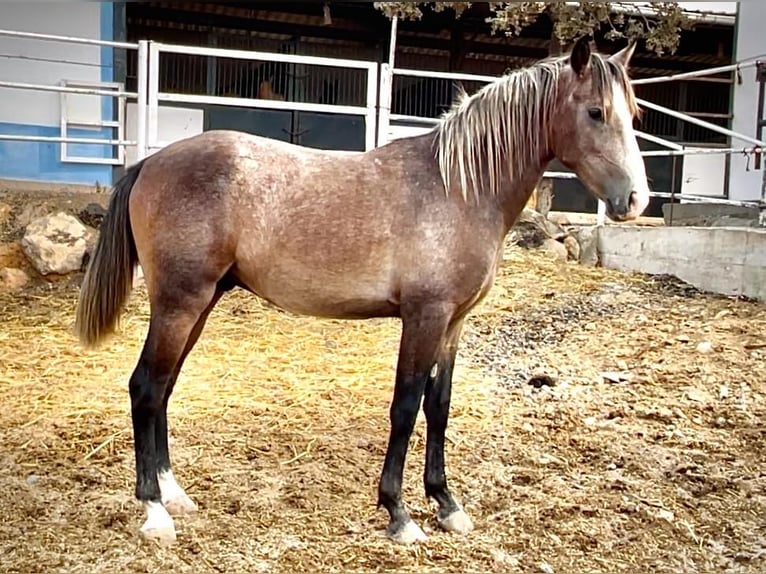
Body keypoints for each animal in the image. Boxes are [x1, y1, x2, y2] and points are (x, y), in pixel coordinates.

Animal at [75, 38, 652, 548]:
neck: (459, 189)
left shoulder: (453, 322)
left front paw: (447, 504)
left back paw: (174, 493)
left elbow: (439, 406)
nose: (635, 200)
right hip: (180, 304)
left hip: (201, 303)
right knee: (146, 387)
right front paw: (399, 513)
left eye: (635, 114)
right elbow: (406, 406)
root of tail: (150, 163)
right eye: (596, 112)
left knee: (164, 388)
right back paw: (154, 511)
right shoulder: (424, 316)